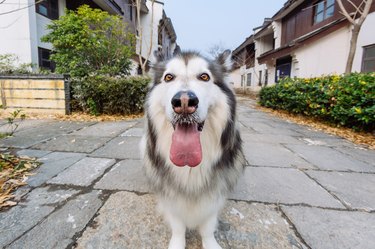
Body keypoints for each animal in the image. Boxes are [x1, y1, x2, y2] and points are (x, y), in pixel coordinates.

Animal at [141, 50, 247, 249]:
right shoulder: (171, 197)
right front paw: (177, 242)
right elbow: (178, 225)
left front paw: (210, 243)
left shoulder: (214, 195)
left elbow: (207, 226)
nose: (183, 101)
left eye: (204, 76)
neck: (189, 168)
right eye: (168, 77)